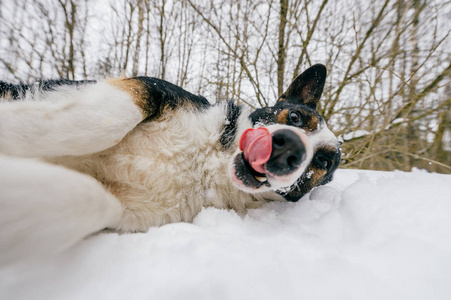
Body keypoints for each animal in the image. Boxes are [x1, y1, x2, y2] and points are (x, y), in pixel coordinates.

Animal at [0, 63, 340, 264]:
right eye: (295, 117)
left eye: (323, 161)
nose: (289, 149)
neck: (206, 163)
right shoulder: (147, 89)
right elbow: (101, 122)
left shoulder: (124, 213)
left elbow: (86, 200)